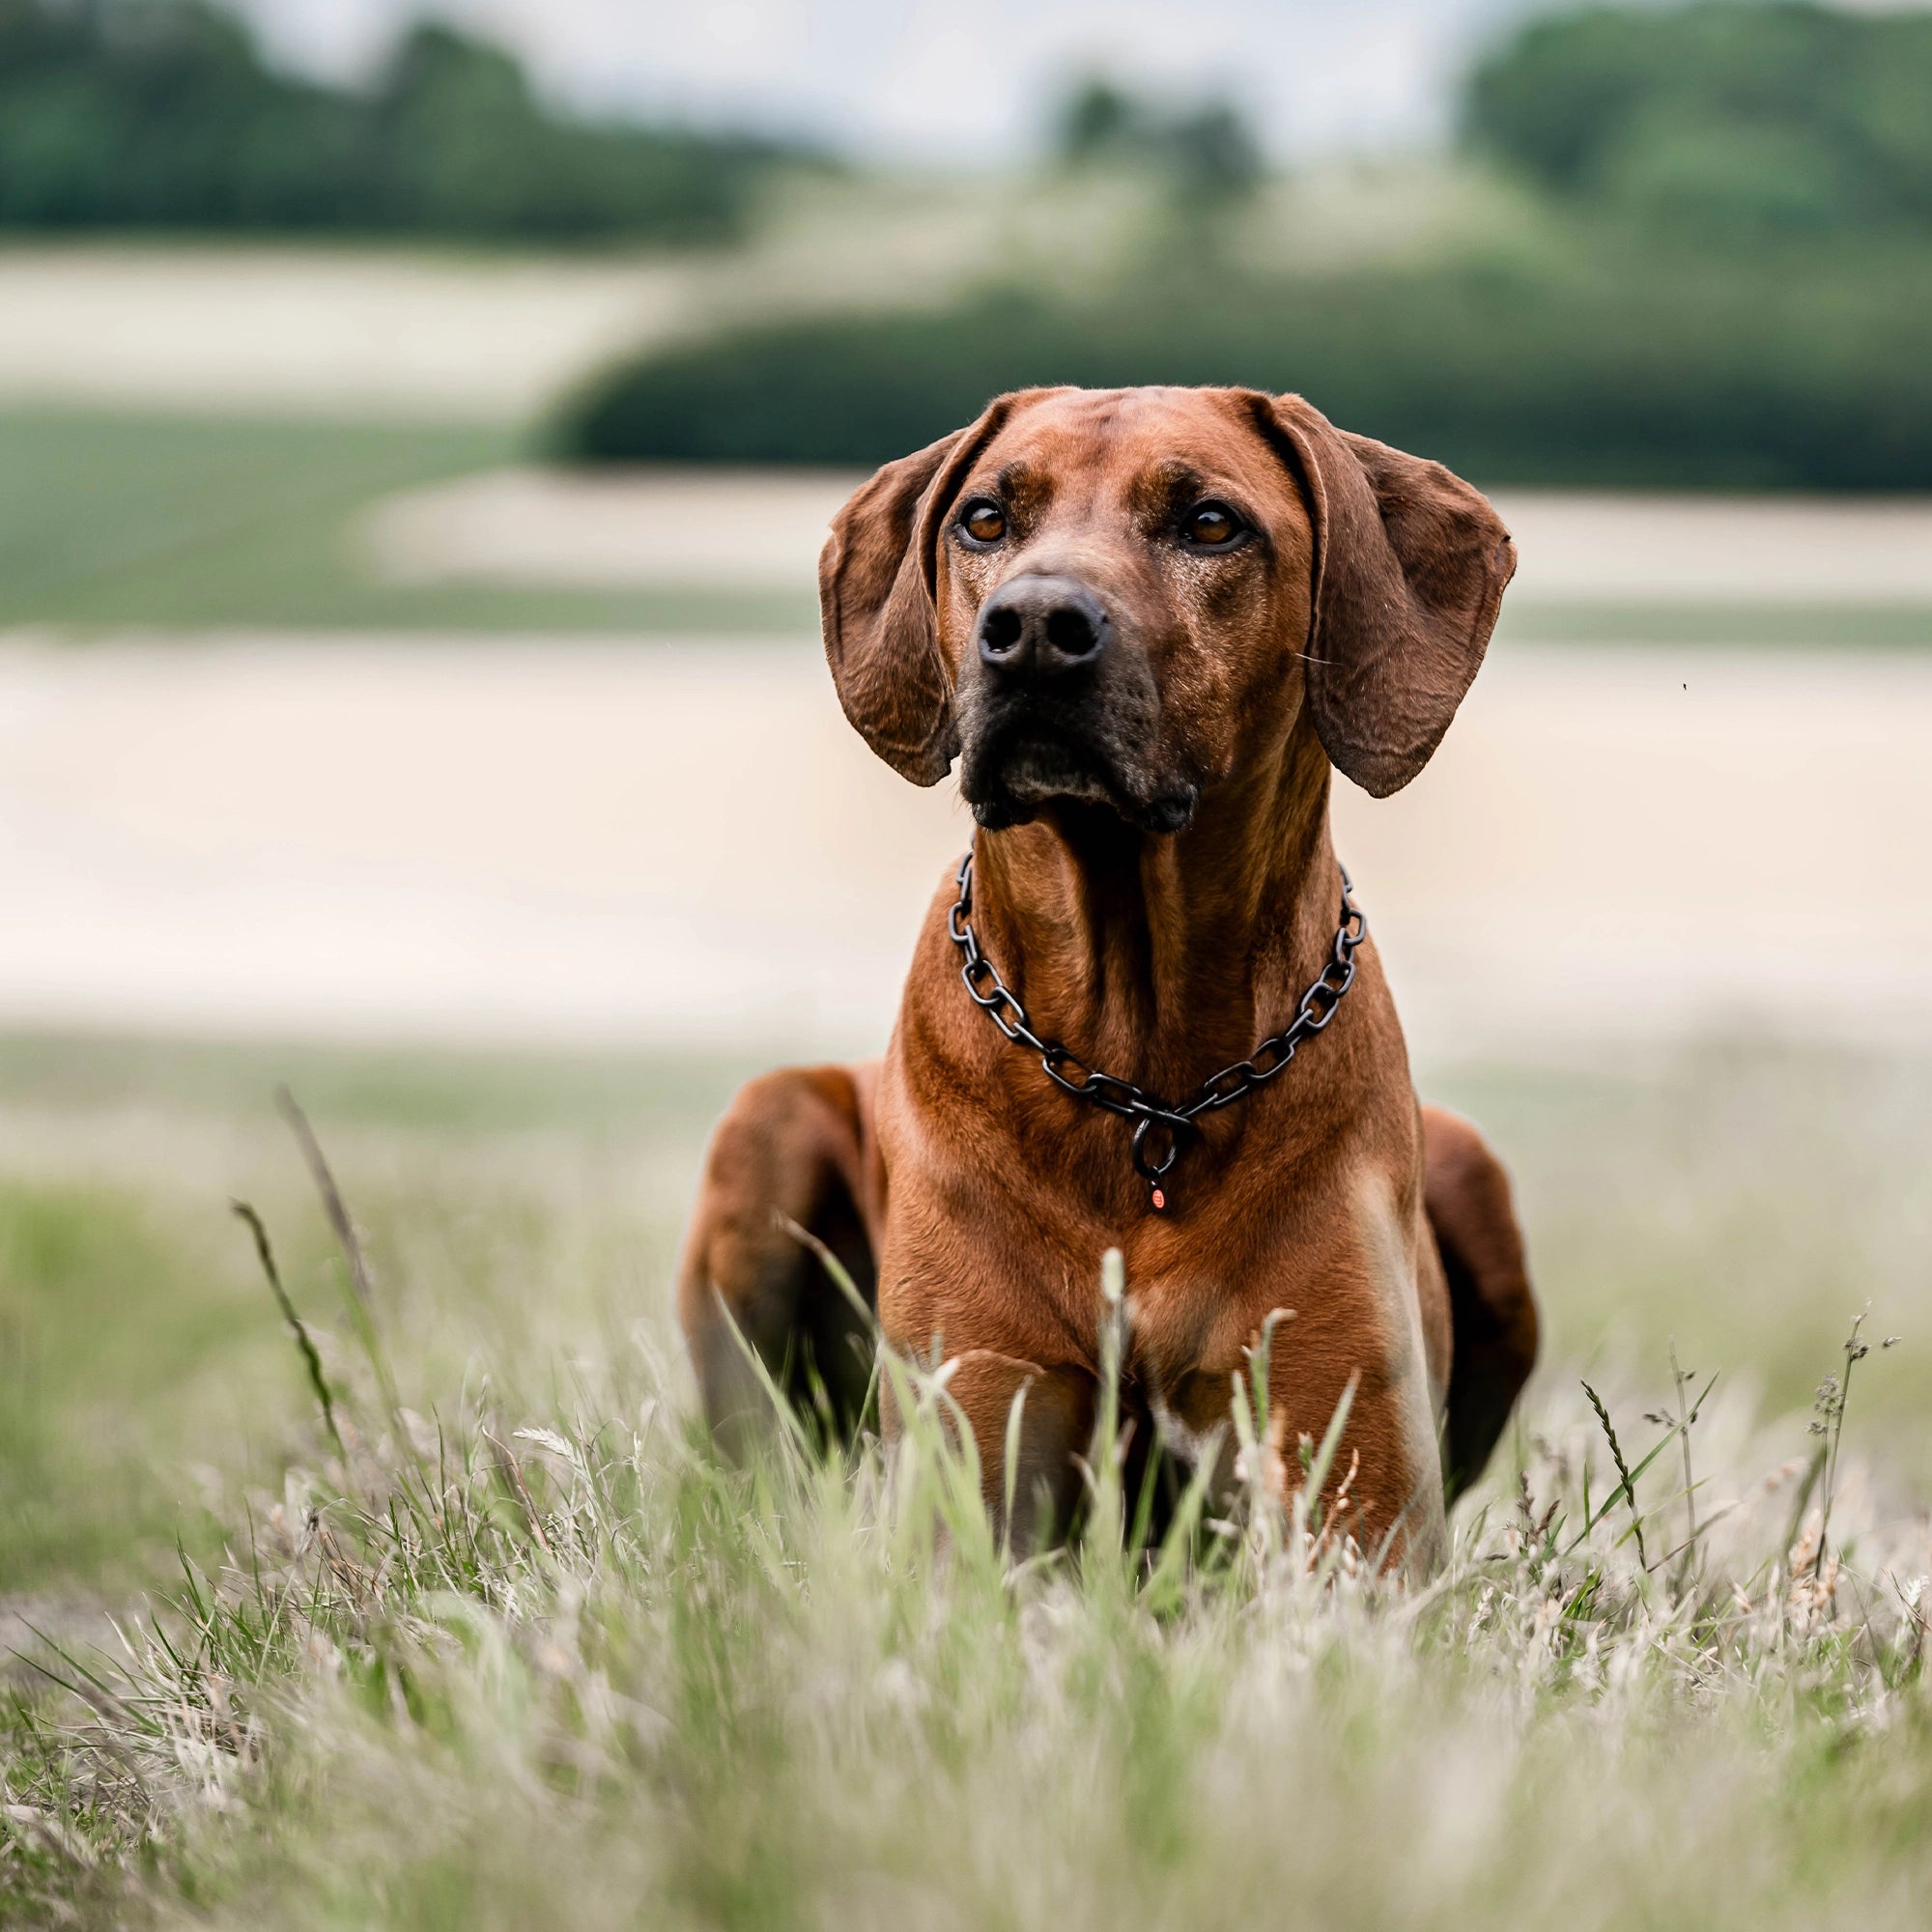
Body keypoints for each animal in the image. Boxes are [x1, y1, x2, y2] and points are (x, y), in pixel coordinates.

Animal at [680, 384, 1538, 1577]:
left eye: (1211, 523)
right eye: (986, 519)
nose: (1034, 629)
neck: (1144, 1081)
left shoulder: (1359, 1509)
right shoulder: (978, 1441)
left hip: (1475, 1173)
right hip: (764, 1125)